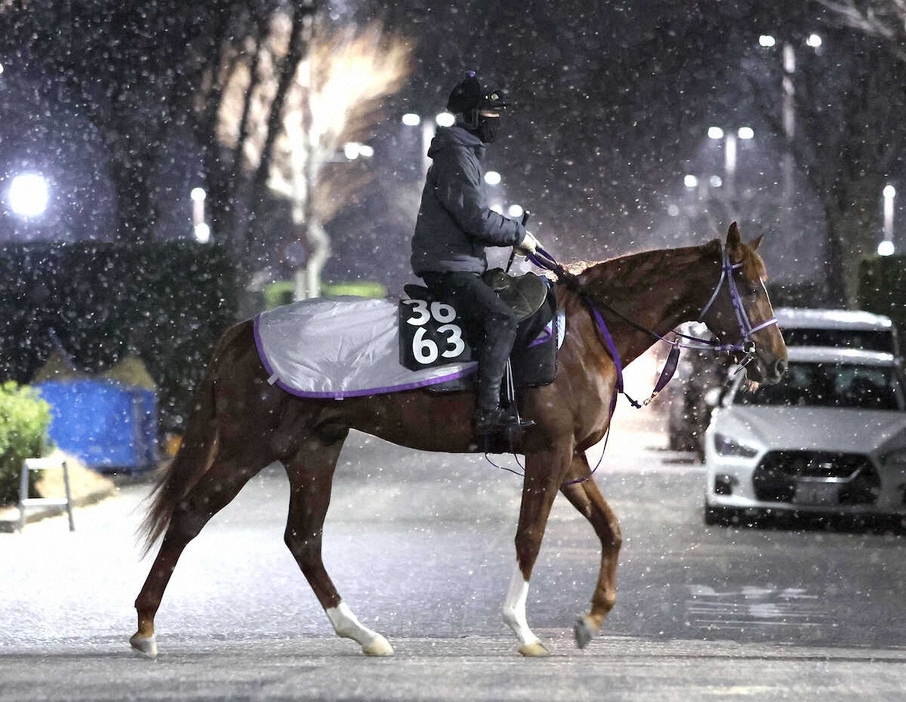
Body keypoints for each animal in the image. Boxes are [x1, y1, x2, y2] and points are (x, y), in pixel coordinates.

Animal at [127, 224, 784, 660]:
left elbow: (612, 527)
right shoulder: (548, 452)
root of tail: (243, 329)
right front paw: (522, 629)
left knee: (303, 539)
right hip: (249, 446)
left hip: (314, 448)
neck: (583, 334)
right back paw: (145, 627)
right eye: (749, 284)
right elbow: (529, 536)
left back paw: (362, 633)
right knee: (191, 514)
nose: (775, 361)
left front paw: (592, 619)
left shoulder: (570, 456)